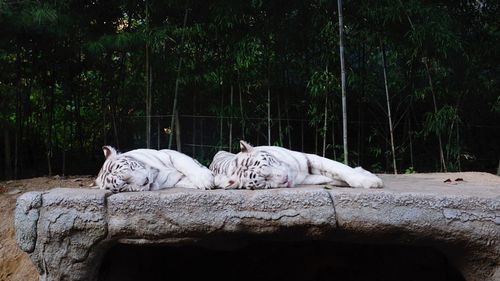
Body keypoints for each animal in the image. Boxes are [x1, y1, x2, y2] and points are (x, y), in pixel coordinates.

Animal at [210, 139, 382, 189]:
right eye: (263, 181)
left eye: (268, 163)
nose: (285, 179)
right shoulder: (309, 178)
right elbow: (334, 177)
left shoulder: (310, 158)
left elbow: (340, 168)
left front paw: (371, 181)